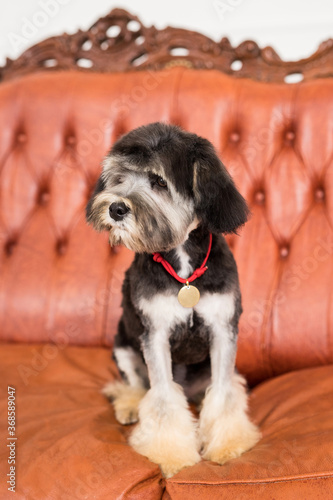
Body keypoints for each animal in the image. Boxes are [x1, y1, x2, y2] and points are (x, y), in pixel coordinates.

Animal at [85, 121, 260, 476]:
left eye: (158, 181)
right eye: (119, 177)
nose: (116, 207)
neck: (182, 265)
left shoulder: (223, 330)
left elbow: (223, 394)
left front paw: (227, 445)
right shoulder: (155, 334)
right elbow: (163, 398)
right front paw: (170, 455)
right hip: (123, 348)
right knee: (134, 387)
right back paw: (129, 406)